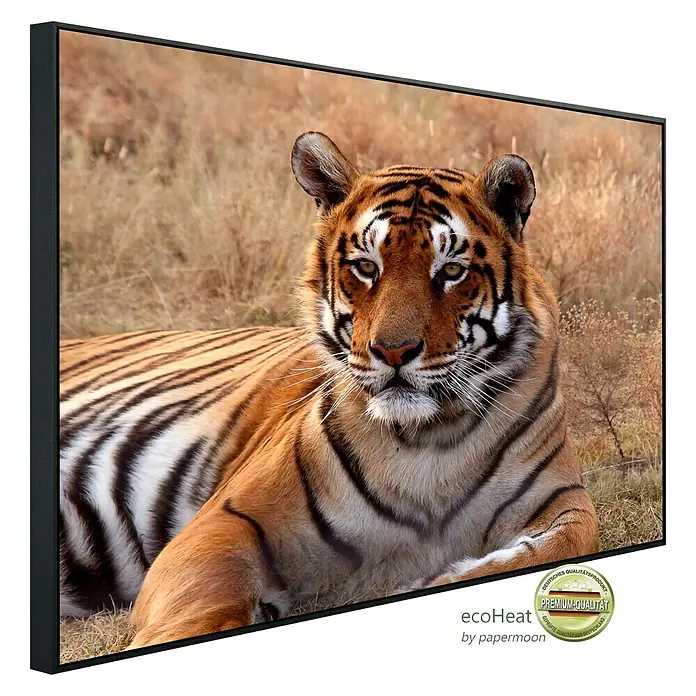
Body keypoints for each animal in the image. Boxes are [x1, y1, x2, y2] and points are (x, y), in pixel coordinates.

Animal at [59, 131, 599, 649]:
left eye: (450, 271)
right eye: (366, 267)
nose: (394, 352)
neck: (428, 441)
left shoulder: (565, 502)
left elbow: (563, 546)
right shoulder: (222, 522)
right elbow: (205, 603)